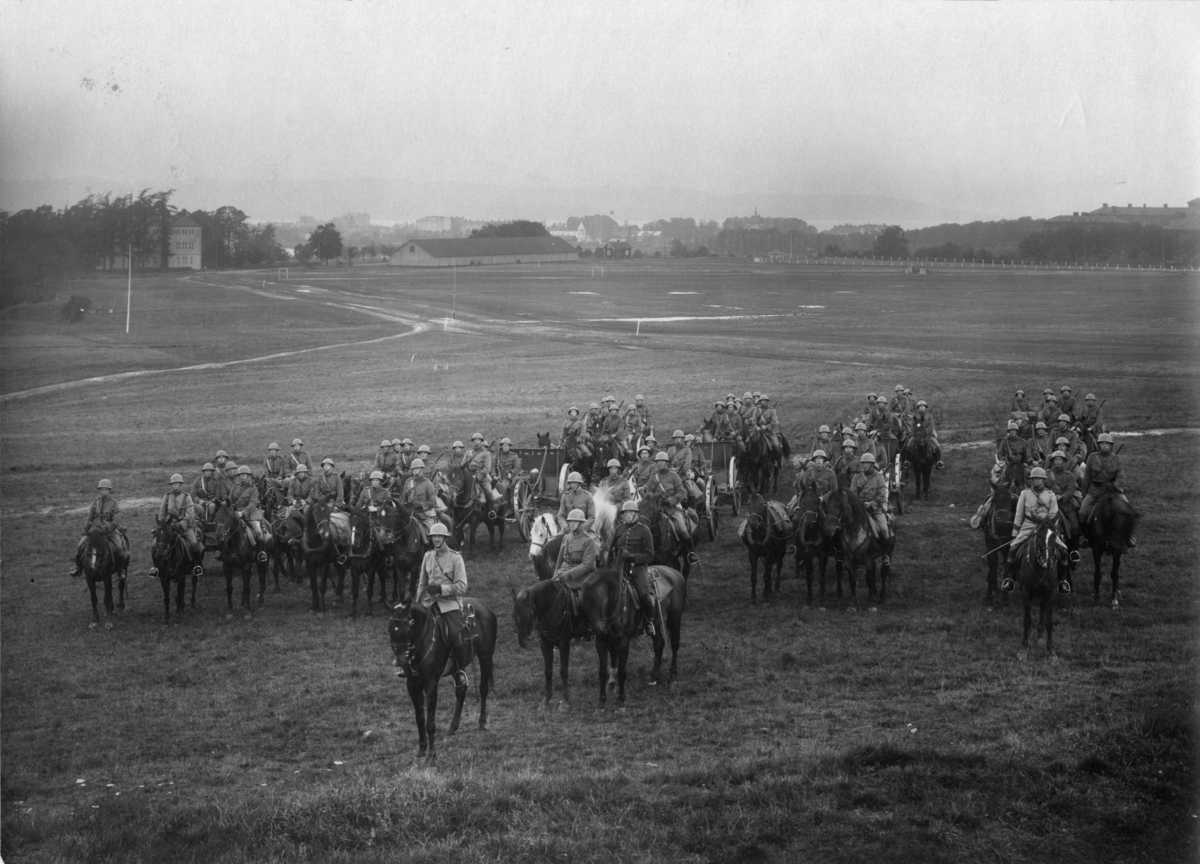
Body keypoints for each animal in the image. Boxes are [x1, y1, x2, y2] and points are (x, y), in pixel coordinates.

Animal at [386, 597, 494, 768]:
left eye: (407, 626)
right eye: (390, 628)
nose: (399, 661)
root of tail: (485, 608)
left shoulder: (431, 684)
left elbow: (430, 722)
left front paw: (431, 754)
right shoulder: (412, 684)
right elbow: (420, 719)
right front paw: (421, 750)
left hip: (485, 656)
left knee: (483, 688)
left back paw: (482, 722)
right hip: (460, 664)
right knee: (461, 690)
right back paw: (452, 727)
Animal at [1012, 513, 1060, 652]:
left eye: (1054, 535)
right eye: (1038, 536)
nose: (1047, 561)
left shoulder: (1051, 593)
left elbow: (1049, 621)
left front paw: (1050, 648)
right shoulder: (1026, 591)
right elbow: (1027, 619)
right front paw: (1024, 643)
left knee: (1042, 607)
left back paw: (1040, 632)